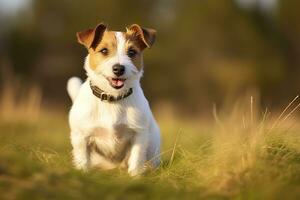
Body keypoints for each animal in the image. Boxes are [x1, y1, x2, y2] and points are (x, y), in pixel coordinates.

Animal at [67, 23, 162, 175]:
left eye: (131, 52)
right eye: (104, 50)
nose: (119, 69)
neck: (113, 98)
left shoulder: (139, 135)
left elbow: (136, 160)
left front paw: (135, 176)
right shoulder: (81, 137)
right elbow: (83, 160)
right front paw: (83, 174)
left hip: (153, 146)